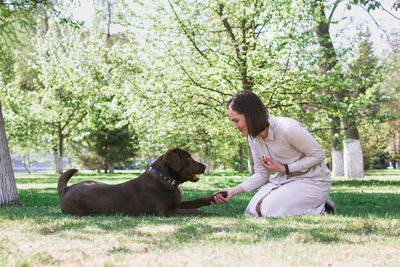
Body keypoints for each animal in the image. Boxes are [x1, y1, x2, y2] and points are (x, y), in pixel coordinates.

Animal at [57, 149, 223, 218]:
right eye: (188, 157)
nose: (205, 166)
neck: (165, 180)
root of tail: (66, 189)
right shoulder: (166, 212)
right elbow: (195, 211)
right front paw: (212, 214)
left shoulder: (177, 204)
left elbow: (197, 201)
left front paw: (214, 197)